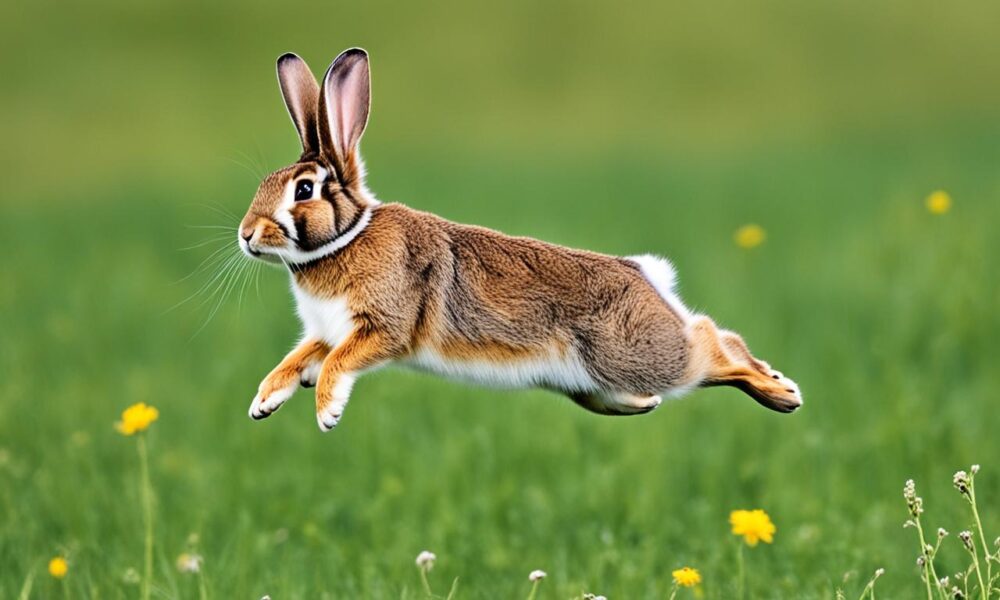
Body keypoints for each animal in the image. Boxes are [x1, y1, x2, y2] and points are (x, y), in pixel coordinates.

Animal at [238, 48, 802, 432]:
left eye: (304, 189)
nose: (246, 235)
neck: (344, 238)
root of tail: (645, 275)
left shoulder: (382, 326)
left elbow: (338, 362)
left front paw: (326, 412)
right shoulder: (325, 331)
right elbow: (298, 358)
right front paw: (263, 402)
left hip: (636, 356)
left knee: (712, 344)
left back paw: (781, 392)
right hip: (598, 388)